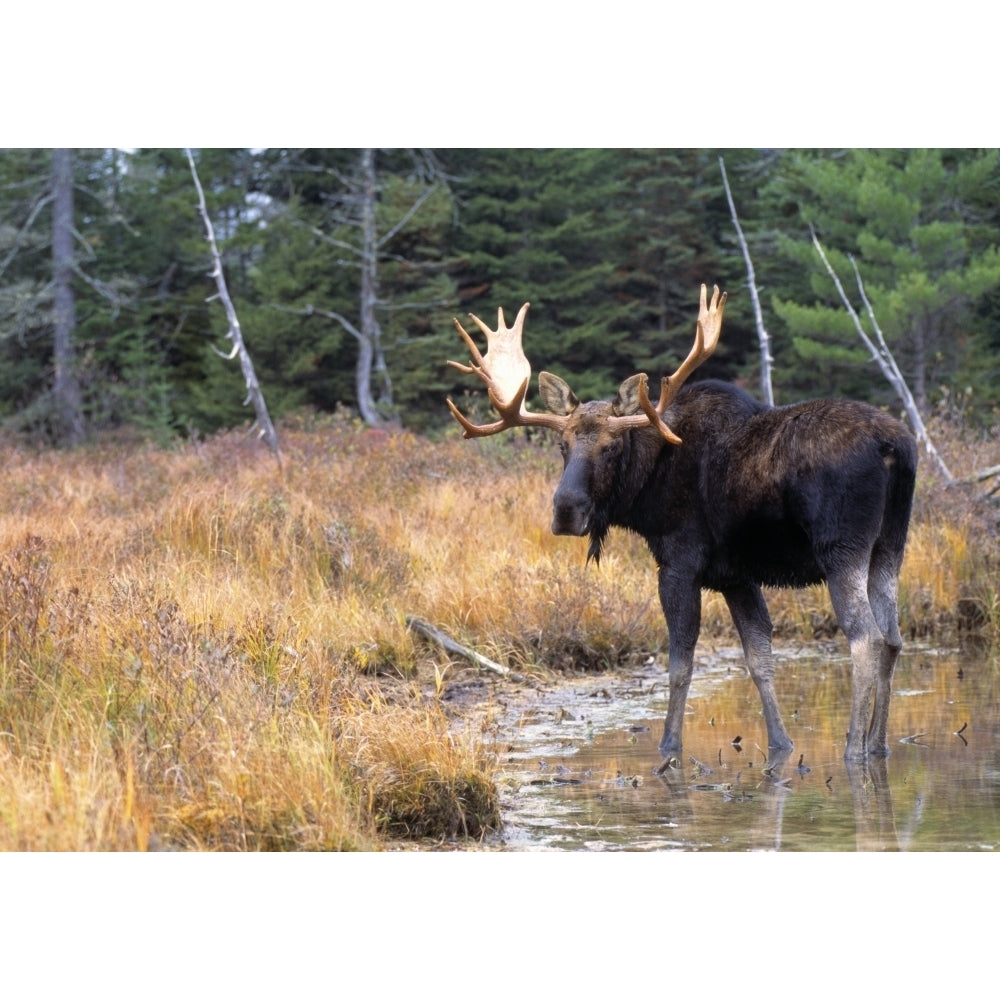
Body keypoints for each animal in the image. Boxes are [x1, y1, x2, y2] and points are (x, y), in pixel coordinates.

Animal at [450, 286, 916, 760]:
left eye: (612, 446)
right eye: (562, 445)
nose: (566, 509)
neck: (645, 489)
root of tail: (893, 444)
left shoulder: (678, 563)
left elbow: (680, 665)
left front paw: (669, 745)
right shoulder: (736, 577)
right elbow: (759, 660)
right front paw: (781, 744)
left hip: (841, 549)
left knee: (866, 639)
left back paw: (854, 749)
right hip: (889, 546)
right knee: (893, 638)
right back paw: (878, 745)